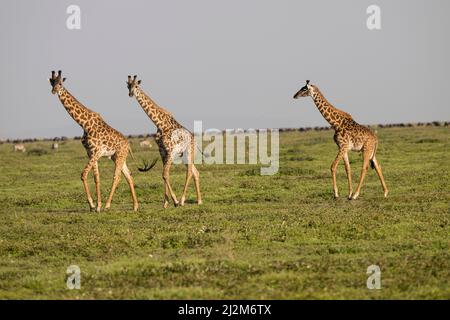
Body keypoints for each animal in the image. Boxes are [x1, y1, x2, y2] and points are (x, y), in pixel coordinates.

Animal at [48, 71, 140, 214]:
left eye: (61, 83)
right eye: (52, 83)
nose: (54, 91)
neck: (84, 124)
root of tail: (128, 145)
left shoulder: (96, 152)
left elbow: (83, 174)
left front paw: (93, 205)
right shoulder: (90, 153)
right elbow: (96, 178)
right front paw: (97, 206)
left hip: (119, 156)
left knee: (117, 177)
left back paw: (108, 205)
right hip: (117, 157)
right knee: (129, 176)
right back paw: (135, 206)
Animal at [125, 76, 202, 209]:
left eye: (136, 86)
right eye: (128, 86)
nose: (130, 94)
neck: (159, 124)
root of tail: (194, 139)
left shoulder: (171, 151)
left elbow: (165, 174)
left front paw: (175, 201)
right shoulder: (162, 151)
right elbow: (165, 175)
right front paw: (165, 203)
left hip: (188, 152)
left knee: (189, 173)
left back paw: (182, 200)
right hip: (183, 156)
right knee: (195, 172)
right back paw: (199, 201)